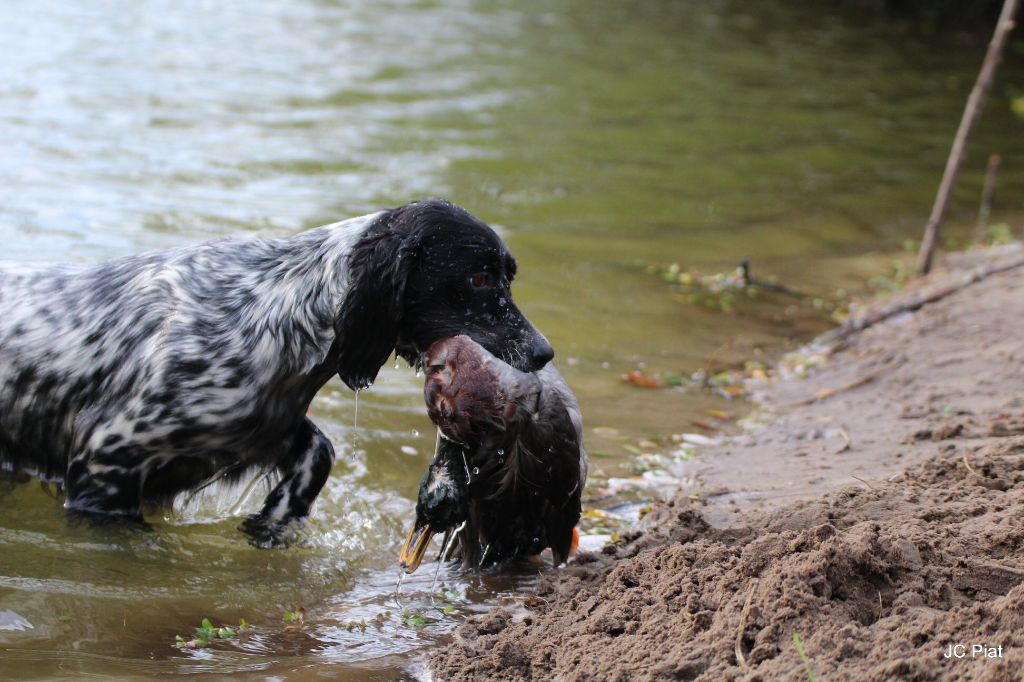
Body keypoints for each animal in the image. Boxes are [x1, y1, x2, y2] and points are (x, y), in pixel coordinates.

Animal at [0, 196, 552, 540]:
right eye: (479, 278)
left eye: (507, 275)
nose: (544, 352)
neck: (273, 307)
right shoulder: (105, 460)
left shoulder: (261, 426)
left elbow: (319, 450)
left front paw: (276, 517)